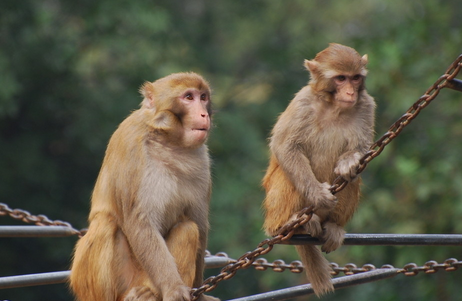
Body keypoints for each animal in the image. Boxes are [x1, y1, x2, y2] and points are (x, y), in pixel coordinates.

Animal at [69, 72, 219, 300]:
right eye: (188, 97)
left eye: (203, 97)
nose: (203, 114)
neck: (169, 140)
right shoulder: (131, 144)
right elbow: (140, 221)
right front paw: (174, 288)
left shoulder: (202, 159)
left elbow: (199, 225)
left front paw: (199, 295)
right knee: (105, 224)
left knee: (187, 229)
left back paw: (150, 293)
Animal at [264, 44, 376, 296]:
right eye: (341, 78)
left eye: (355, 78)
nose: (350, 93)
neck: (333, 106)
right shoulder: (302, 102)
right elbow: (285, 147)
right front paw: (318, 194)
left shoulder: (366, 105)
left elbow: (361, 150)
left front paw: (349, 162)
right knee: (287, 175)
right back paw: (289, 224)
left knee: (352, 179)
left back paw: (334, 225)